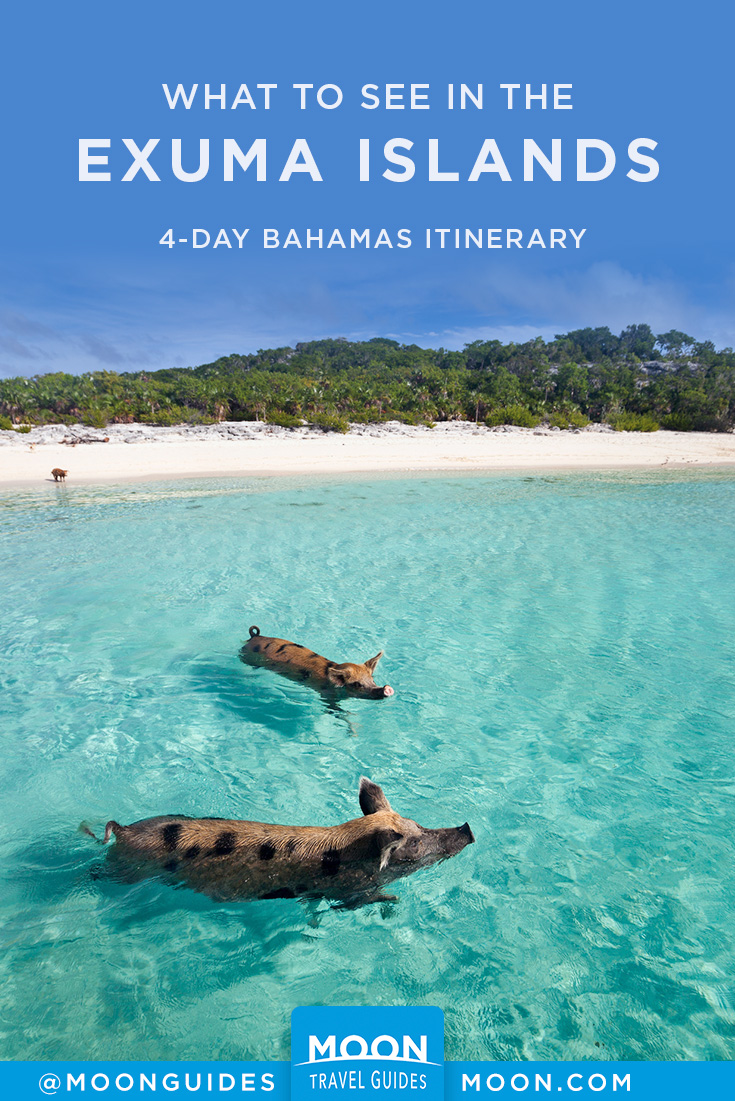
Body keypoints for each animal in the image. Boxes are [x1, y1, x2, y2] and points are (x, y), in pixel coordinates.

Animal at [83, 777, 474, 907]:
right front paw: (393, 901)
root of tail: (122, 829)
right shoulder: (348, 890)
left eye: (419, 824)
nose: (468, 828)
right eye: (414, 843)